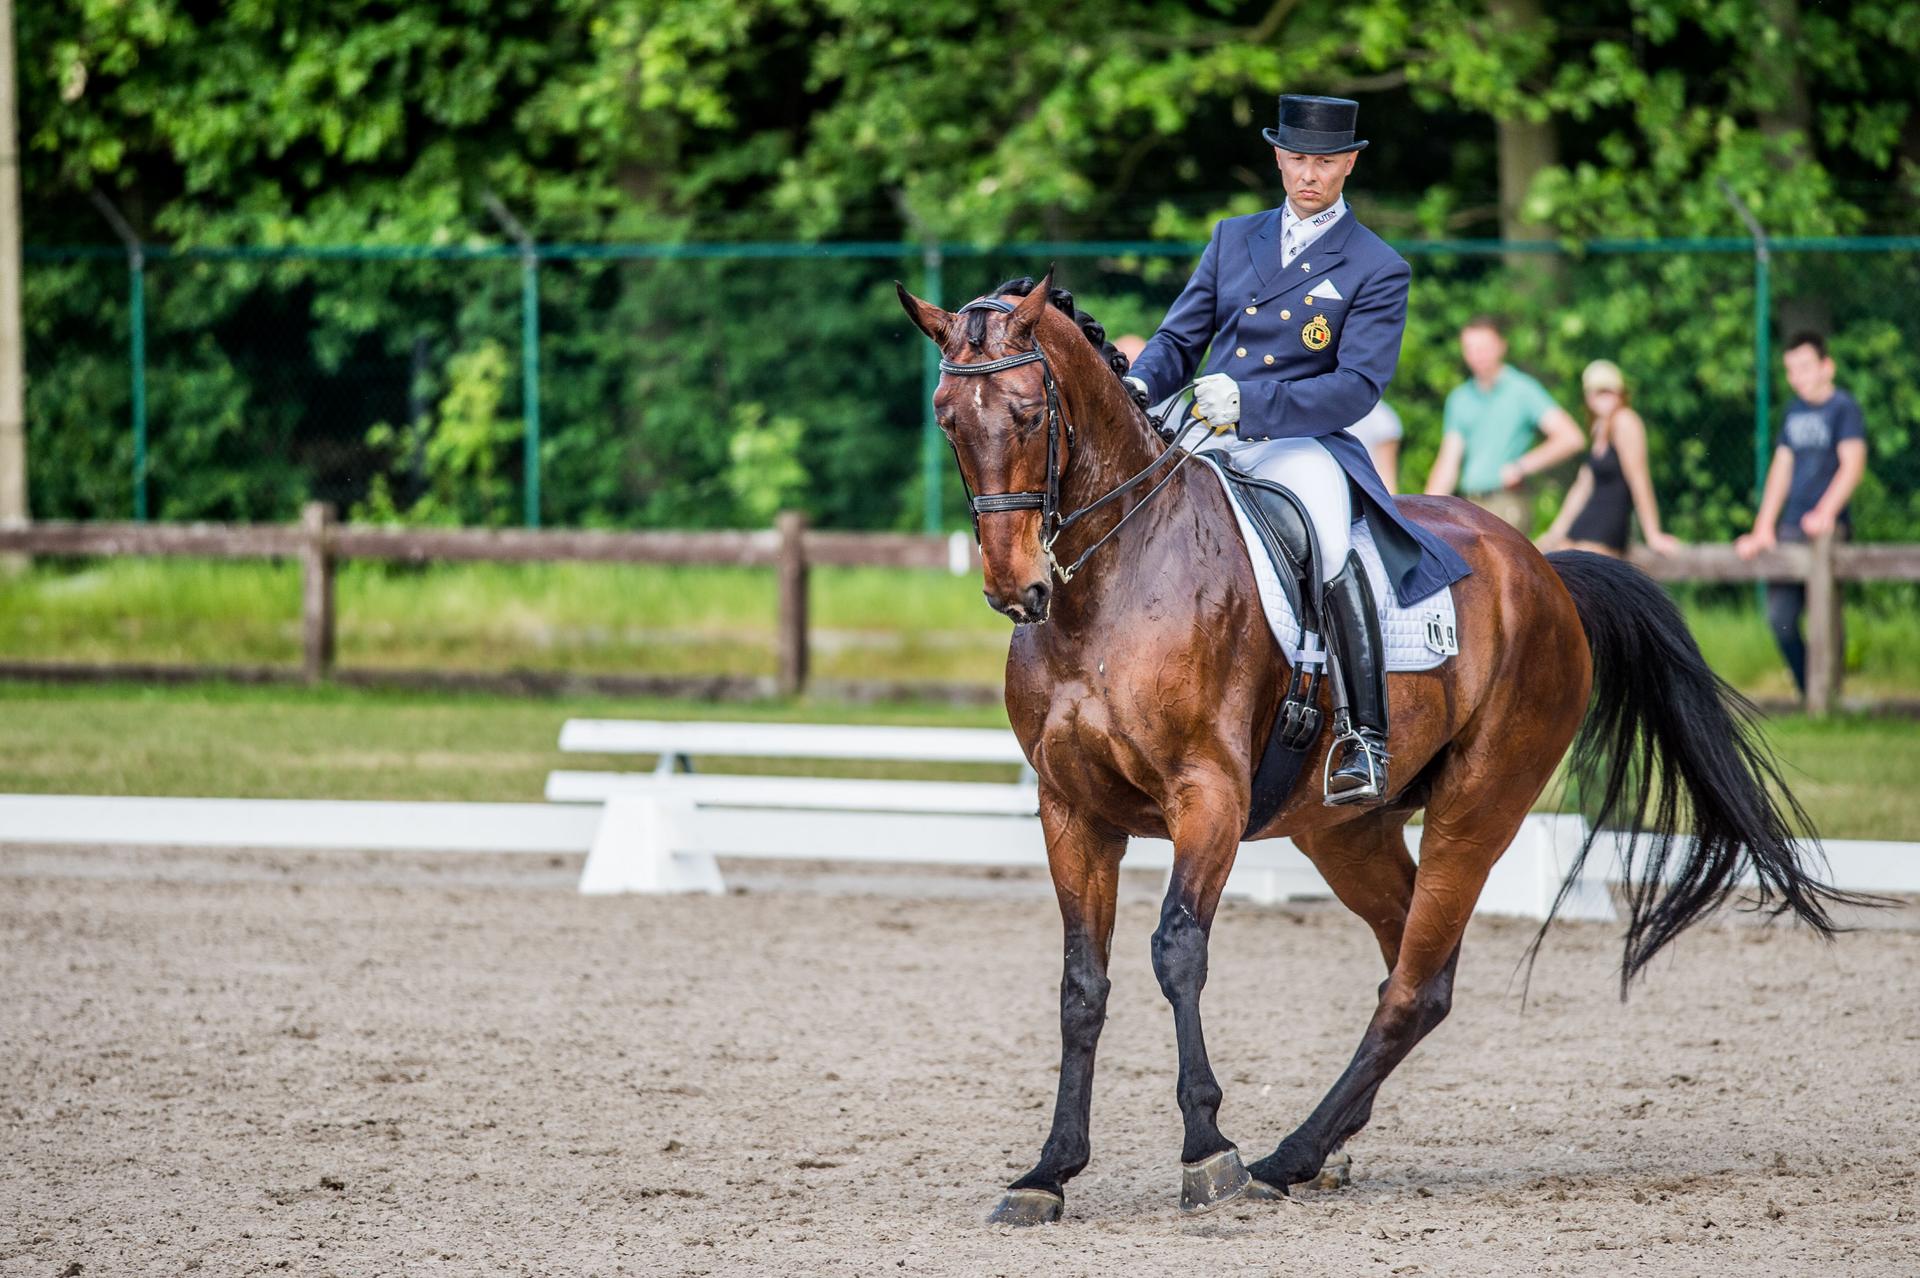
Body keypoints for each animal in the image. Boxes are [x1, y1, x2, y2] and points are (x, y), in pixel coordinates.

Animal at [894, 271, 1855, 1226]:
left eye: (1027, 415)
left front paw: (1208, 1150)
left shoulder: (1208, 797)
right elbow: (1080, 984)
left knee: (1416, 982)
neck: (1111, 580)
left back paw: (1287, 1155)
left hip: (1479, 808)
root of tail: (1544, 569)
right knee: (1409, 957)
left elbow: (1176, 952)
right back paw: (1324, 1147)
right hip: (1345, 831)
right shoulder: (1072, 811)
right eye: (947, 418)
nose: (1015, 589)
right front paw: (1048, 1171)